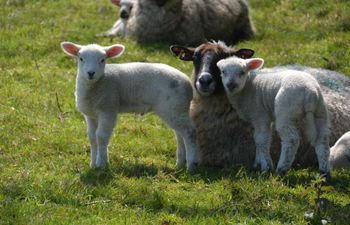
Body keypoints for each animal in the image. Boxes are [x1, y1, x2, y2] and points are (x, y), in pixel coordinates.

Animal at [58, 40, 198, 171]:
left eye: (102, 60)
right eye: (81, 58)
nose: (90, 73)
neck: (99, 83)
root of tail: (188, 84)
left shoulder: (108, 109)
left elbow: (101, 136)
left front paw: (101, 164)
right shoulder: (90, 114)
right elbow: (92, 138)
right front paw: (93, 165)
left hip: (173, 106)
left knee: (189, 132)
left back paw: (191, 165)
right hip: (176, 108)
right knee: (180, 134)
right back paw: (180, 164)